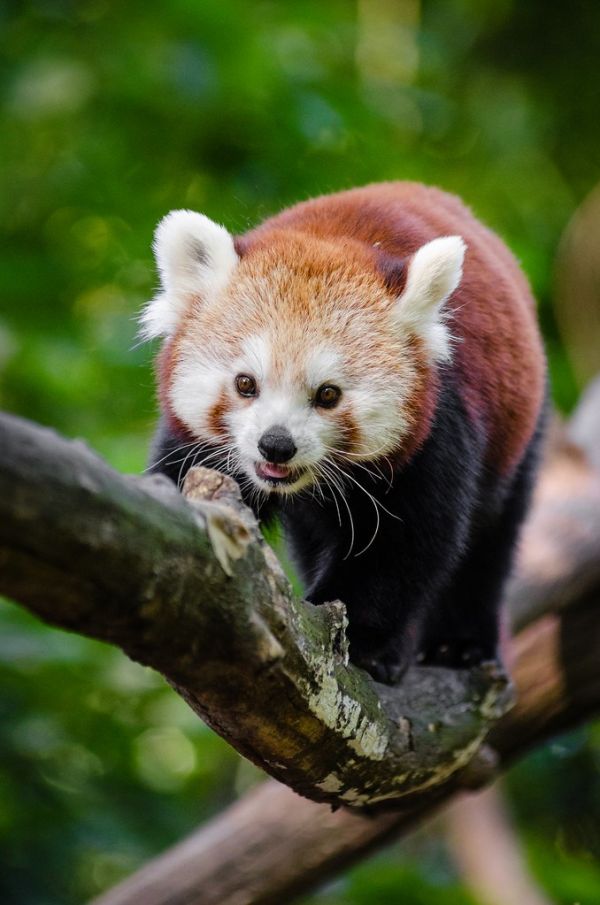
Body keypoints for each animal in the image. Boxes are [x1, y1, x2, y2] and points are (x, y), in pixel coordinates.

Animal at [141, 182, 547, 683]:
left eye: (328, 394)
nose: (276, 445)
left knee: (491, 541)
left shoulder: (439, 428)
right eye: (245, 384)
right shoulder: (200, 445)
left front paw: (354, 637)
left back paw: (460, 646)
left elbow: (406, 546)